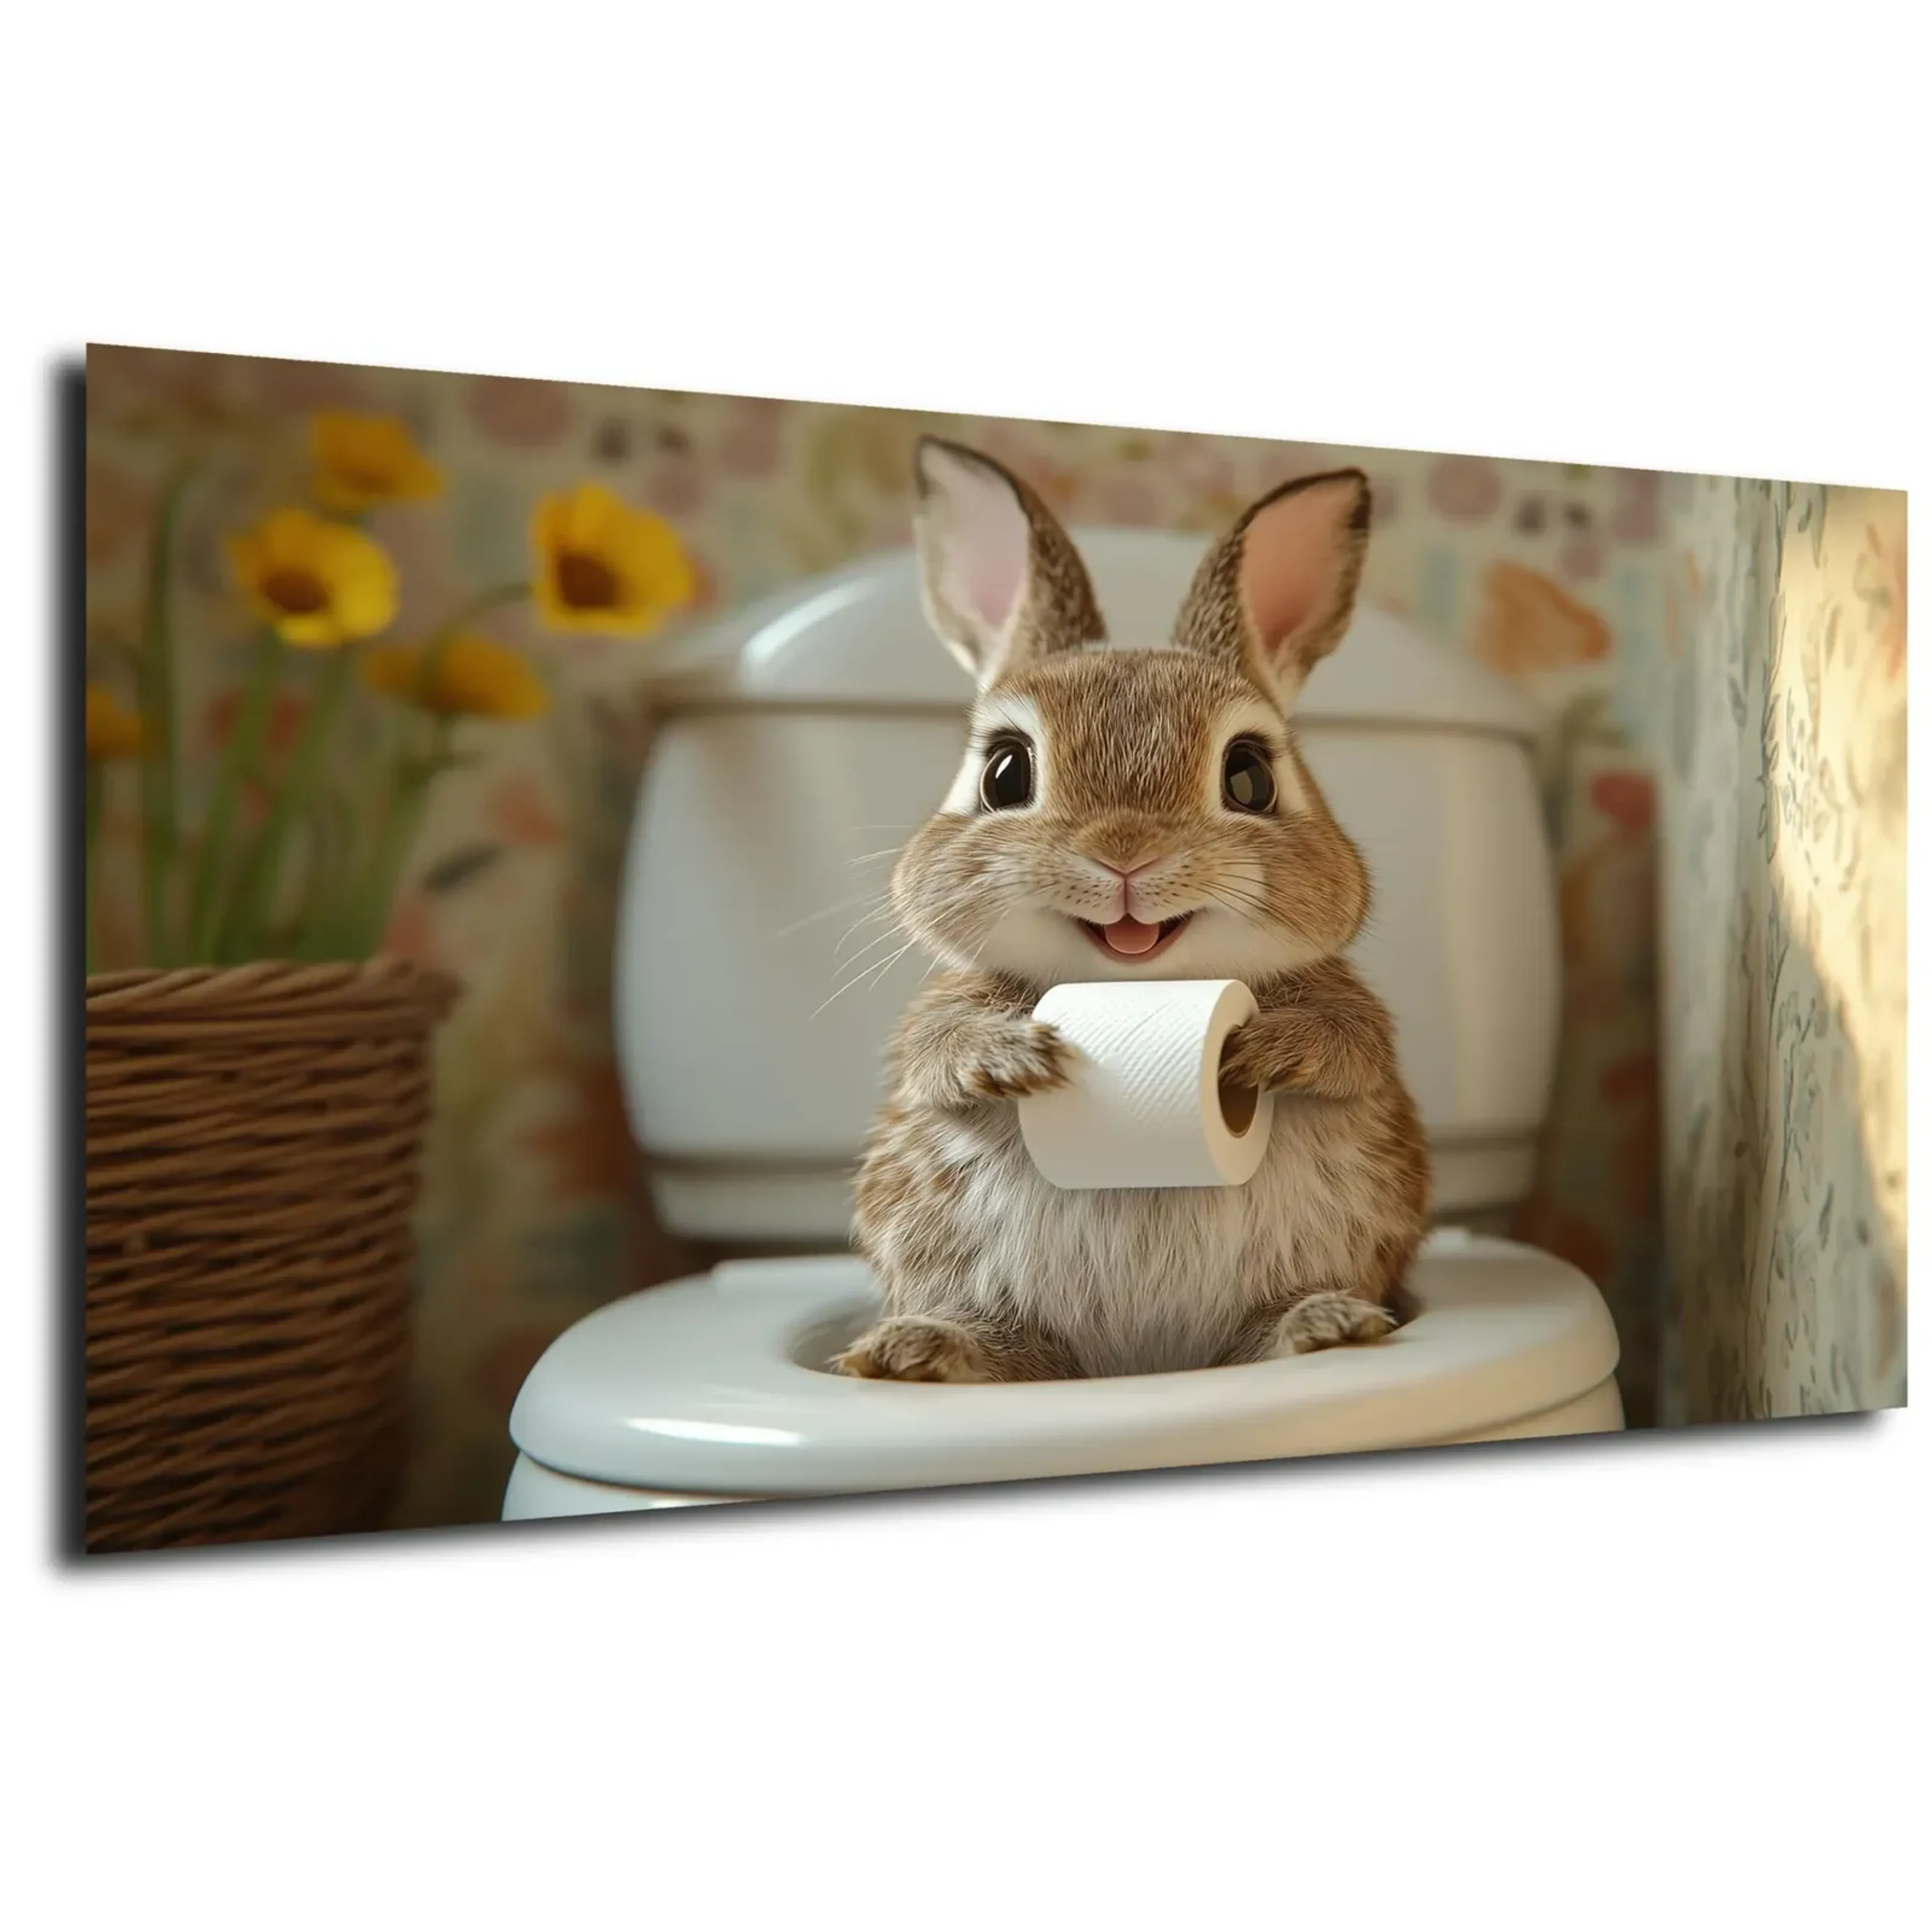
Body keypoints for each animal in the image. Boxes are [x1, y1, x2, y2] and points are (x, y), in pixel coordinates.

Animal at [834, 436, 1432, 1384]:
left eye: (1249, 776)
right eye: (1005, 771)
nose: (1125, 852)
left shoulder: (1352, 1015)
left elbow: (1350, 1047)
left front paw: (1265, 1053)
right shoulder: (935, 1020)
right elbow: (936, 1052)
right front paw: (1009, 1058)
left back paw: (1323, 1324)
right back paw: (919, 1352)